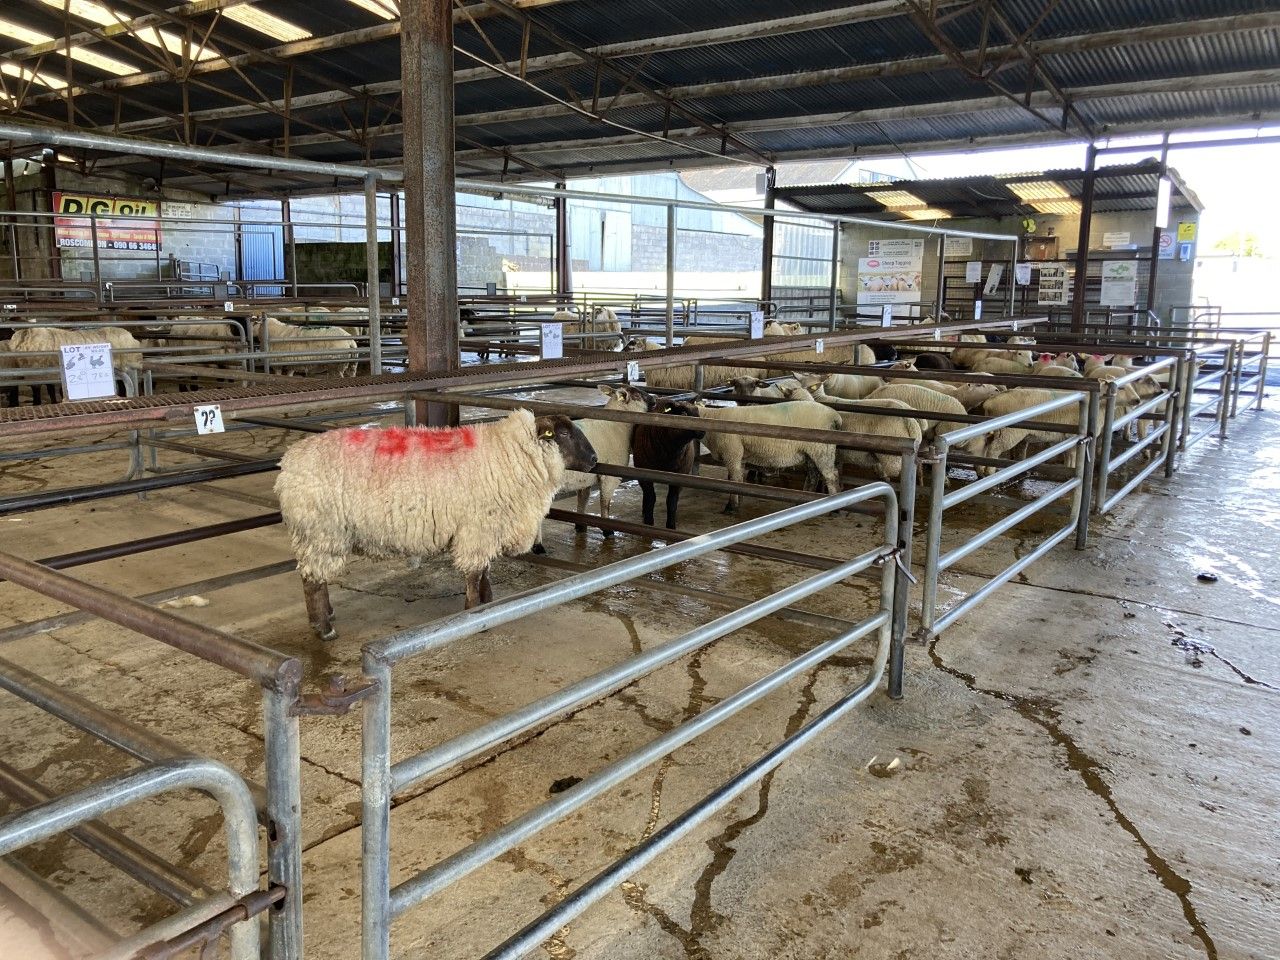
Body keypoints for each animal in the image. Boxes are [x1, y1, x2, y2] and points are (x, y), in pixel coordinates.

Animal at [274, 409, 598, 639]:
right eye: (564, 433)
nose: (595, 460)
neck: (511, 457)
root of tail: (288, 464)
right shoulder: (476, 529)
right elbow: (474, 574)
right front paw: (474, 612)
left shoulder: (486, 530)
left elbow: (485, 570)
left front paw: (488, 602)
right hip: (320, 531)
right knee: (312, 581)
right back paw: (323, 628)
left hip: (316, 535)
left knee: (314, 578)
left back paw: (327, 616)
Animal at [534, 385, 651, 552]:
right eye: (636, 395)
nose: (654, 400)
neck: (618, 427)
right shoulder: (610, 477)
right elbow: (605, 503)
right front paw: (608, 530)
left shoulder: (585, 478)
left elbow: (583, 500)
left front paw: (580, 526)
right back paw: (538, 547)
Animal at [632, 398, 704, 529]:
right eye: (683, 413)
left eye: (697, 411)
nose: (702, 431)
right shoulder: (644, 474)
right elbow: (651, 498)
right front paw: (649, 523)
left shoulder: (680, 476)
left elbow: (672, 501)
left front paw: (671, 526)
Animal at [696, 400, 843, 512]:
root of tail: (835, 416)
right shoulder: (738, 455)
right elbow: (738, 479)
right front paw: (739, 500)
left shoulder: (731, 453)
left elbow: (733, 480)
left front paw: (732, 507)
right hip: (811, 453)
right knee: (813, 476)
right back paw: (803, 502)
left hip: (822, 450)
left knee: (831, 476)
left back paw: (835, 509)